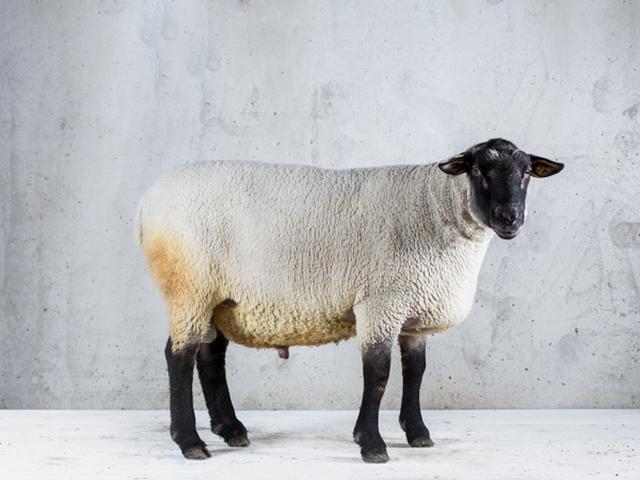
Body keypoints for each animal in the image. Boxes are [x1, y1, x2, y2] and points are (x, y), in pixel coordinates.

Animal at [135, 138, 563, 463]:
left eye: (526, 173)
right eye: (477, 171)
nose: (510, 217)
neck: (435, 208)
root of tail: (147, 203)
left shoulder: (413, 310)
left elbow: (416, 372)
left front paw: (417, 433)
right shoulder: (380, 304)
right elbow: (378, 375)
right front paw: (371, 444)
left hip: (219, 297)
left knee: (209, 356)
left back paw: (231, 429)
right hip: (189, 287)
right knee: (179, 357)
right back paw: (190, 441)